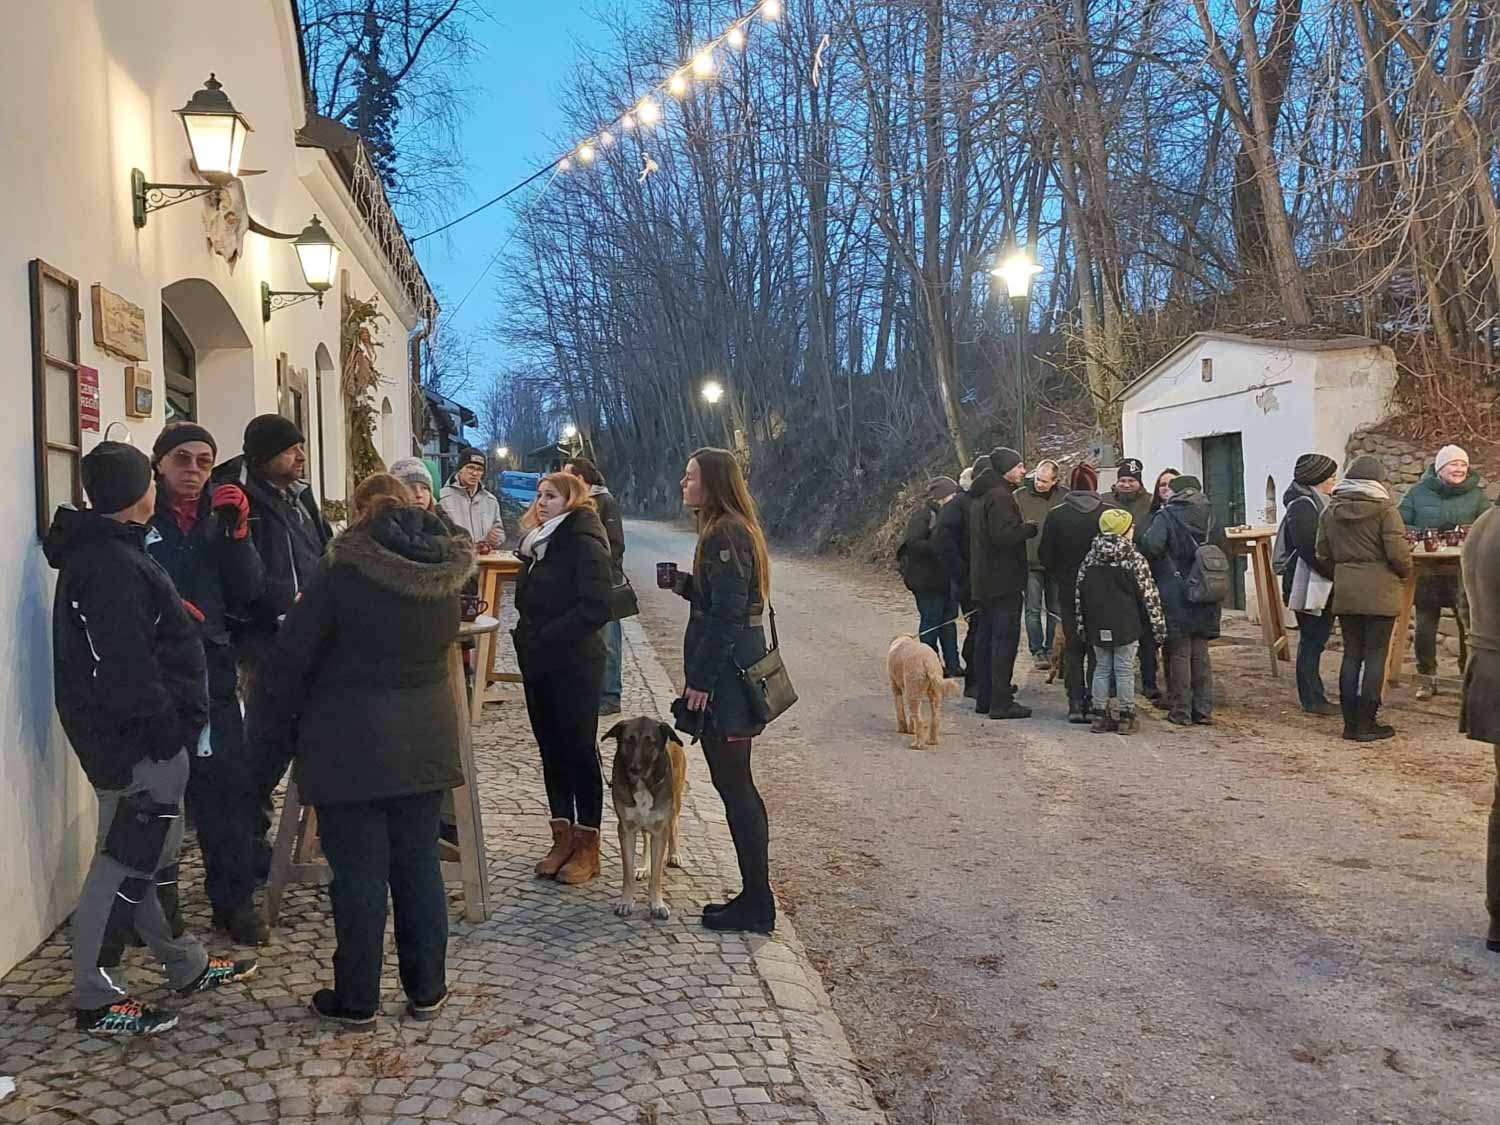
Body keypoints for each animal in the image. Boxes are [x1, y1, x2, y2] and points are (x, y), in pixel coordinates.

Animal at [603, 717, 688, 920]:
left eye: (650, 743)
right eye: (629, 740)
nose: (635, 768)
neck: (643, 784)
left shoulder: (660, 830)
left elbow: (657, 875)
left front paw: (657, 904)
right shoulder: (626, 829)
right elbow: (627, 872)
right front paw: (625, 902)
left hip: (675, 801)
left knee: (674, 824)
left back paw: (674, 854)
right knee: (646, 837)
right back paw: (643, 867)